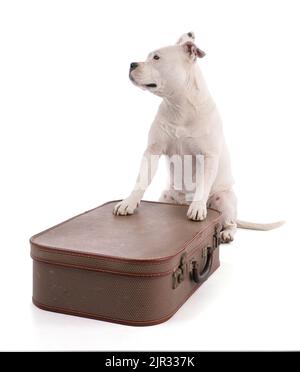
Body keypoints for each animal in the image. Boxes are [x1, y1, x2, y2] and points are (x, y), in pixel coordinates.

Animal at [113, 33, 284, 243]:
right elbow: (141, 179)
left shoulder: (208, 156)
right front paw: (129, 202)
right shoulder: (152, 150)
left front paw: (197, 207)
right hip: (167, 197)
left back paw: (226, 232)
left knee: (231, 223)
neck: (179, 106)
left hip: (224, 199)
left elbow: (203, 184)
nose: (132, 64)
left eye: (156, 57)